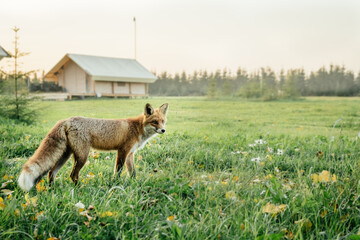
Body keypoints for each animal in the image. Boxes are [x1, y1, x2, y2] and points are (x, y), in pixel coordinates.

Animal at [17, 102, 169, 191]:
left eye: (163, 121)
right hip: (83, 156)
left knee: (51, 172)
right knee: (72, 175)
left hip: (65, 155)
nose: (163, 130)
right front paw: (115, 184)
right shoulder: (123, 151)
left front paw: (134, 184)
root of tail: (66, 120)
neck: (137, 128)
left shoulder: (130, 154)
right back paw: (80, 189)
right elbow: (118, 171)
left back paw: (52, 190)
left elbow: (132, 173)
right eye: (155, 122)